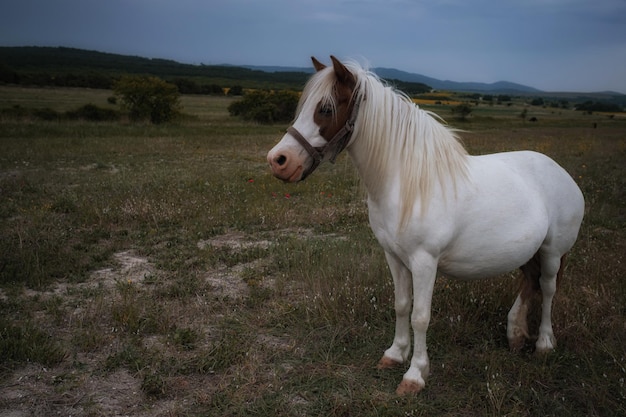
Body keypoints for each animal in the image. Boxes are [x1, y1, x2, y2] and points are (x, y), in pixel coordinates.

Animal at [266, 56, 584, 394]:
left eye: (325, 109)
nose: (278, 160)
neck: (406, 182)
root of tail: (562, 173)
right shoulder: (394, 256)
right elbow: (402, 305)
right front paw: (394, 354)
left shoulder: (424, 261)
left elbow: (420, 316)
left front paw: (415, 375)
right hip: (528, 251)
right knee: (529, 282)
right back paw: (515, 334)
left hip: (553, 252)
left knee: (547, 288)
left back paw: (544, 344)